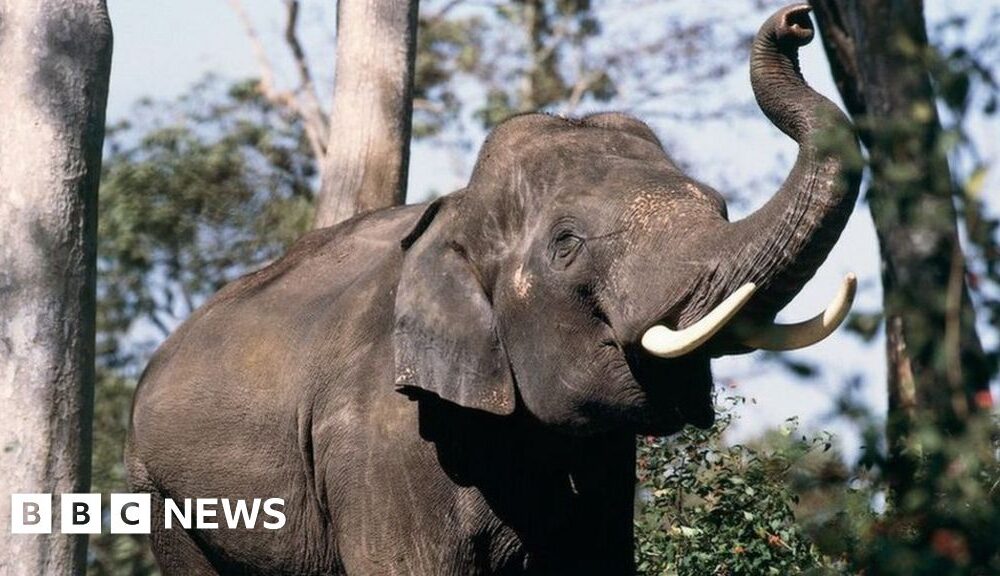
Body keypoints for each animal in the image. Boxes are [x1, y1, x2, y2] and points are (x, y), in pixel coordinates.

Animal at [125, 5, 860, 576]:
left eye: (719, 204)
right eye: (566, 244)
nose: (798, 22)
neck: (454, 213)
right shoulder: (380, 442)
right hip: (162, 494)